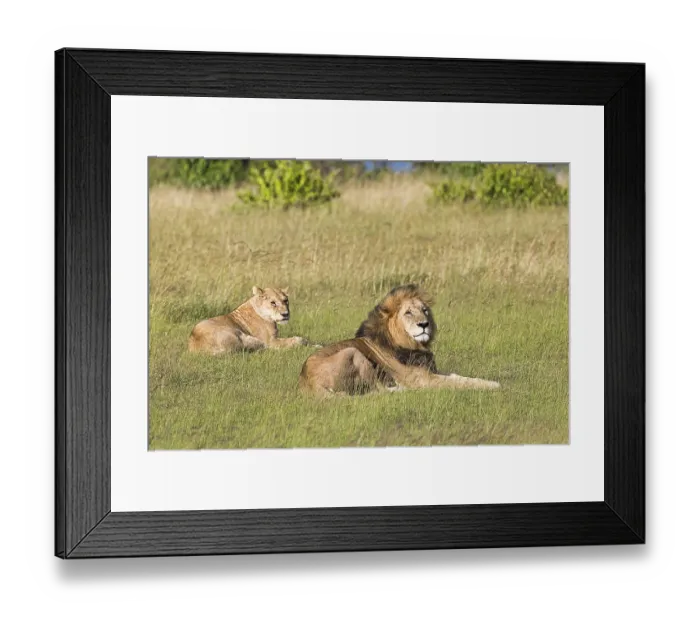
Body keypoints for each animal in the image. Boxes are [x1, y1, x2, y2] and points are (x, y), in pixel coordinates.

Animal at [299, 284, 501, 396]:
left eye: (425, 310)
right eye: (408, 313)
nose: (424, 324)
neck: (413, 345)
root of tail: (307, 384)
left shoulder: (430, 371)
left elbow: (460, 377)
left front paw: (489, 382)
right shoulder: (423, 380)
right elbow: (459, 383)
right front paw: (496, 386)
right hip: (353, 352)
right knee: (376, 391)